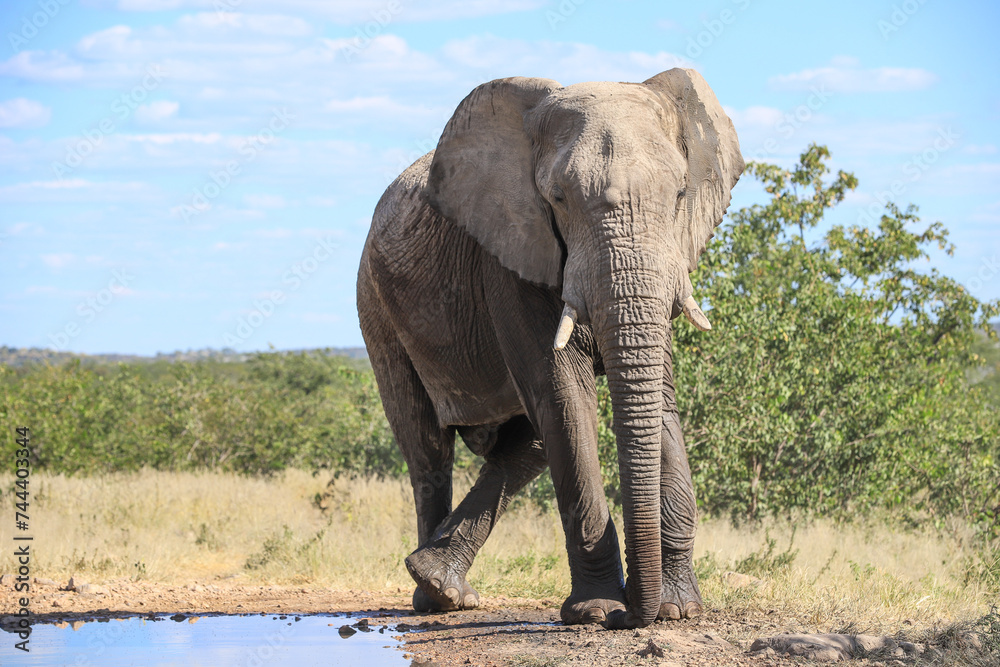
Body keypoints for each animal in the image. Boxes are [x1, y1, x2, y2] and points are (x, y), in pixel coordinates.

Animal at [356, 68, 743, 629]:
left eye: (678, 196)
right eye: (558, 199)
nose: (638, 614)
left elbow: (659, 398)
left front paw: (678, 609)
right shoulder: (510, 253)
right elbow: (565, 397)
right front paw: (598, 612)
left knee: (530, 441)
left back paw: (437, 577)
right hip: (375, 305)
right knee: (428, 448)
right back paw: (435, 598)